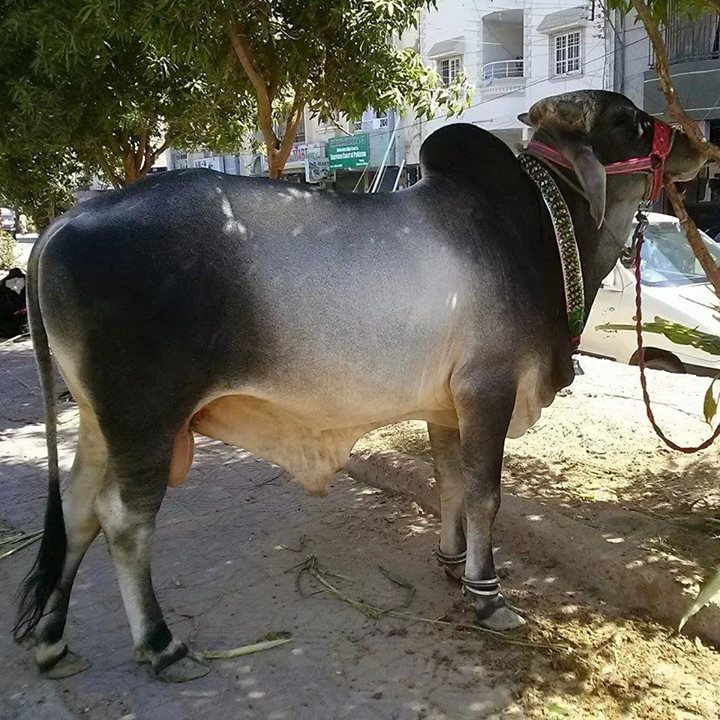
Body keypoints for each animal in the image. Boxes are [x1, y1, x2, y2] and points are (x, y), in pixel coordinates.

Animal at [15, 90, 705, 682]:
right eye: (627, 120)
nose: (698, 139)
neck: (538, 227)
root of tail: (71, 217)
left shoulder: (447, 407)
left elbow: (451, 486)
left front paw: (452, 564)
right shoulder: (489, 390)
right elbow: (484, 496)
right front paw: (487, 595)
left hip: (99, 422)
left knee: (77, 510)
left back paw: (52, 641)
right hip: (144, 420)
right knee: (124, 521)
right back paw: (161, 645)